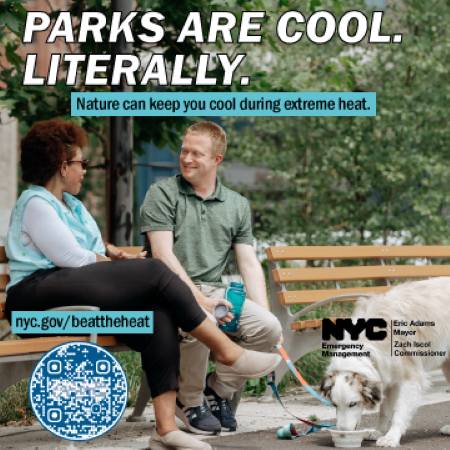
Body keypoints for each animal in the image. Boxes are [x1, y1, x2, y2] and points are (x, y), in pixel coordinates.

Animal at [320, 278, 450, 446]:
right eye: (334, 405)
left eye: (353, 404)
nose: (342, 434)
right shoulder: (386, 377)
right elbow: (384, 411)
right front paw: (378, 432)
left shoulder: (411, 379)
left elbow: (400, 412)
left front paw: (391, 437)